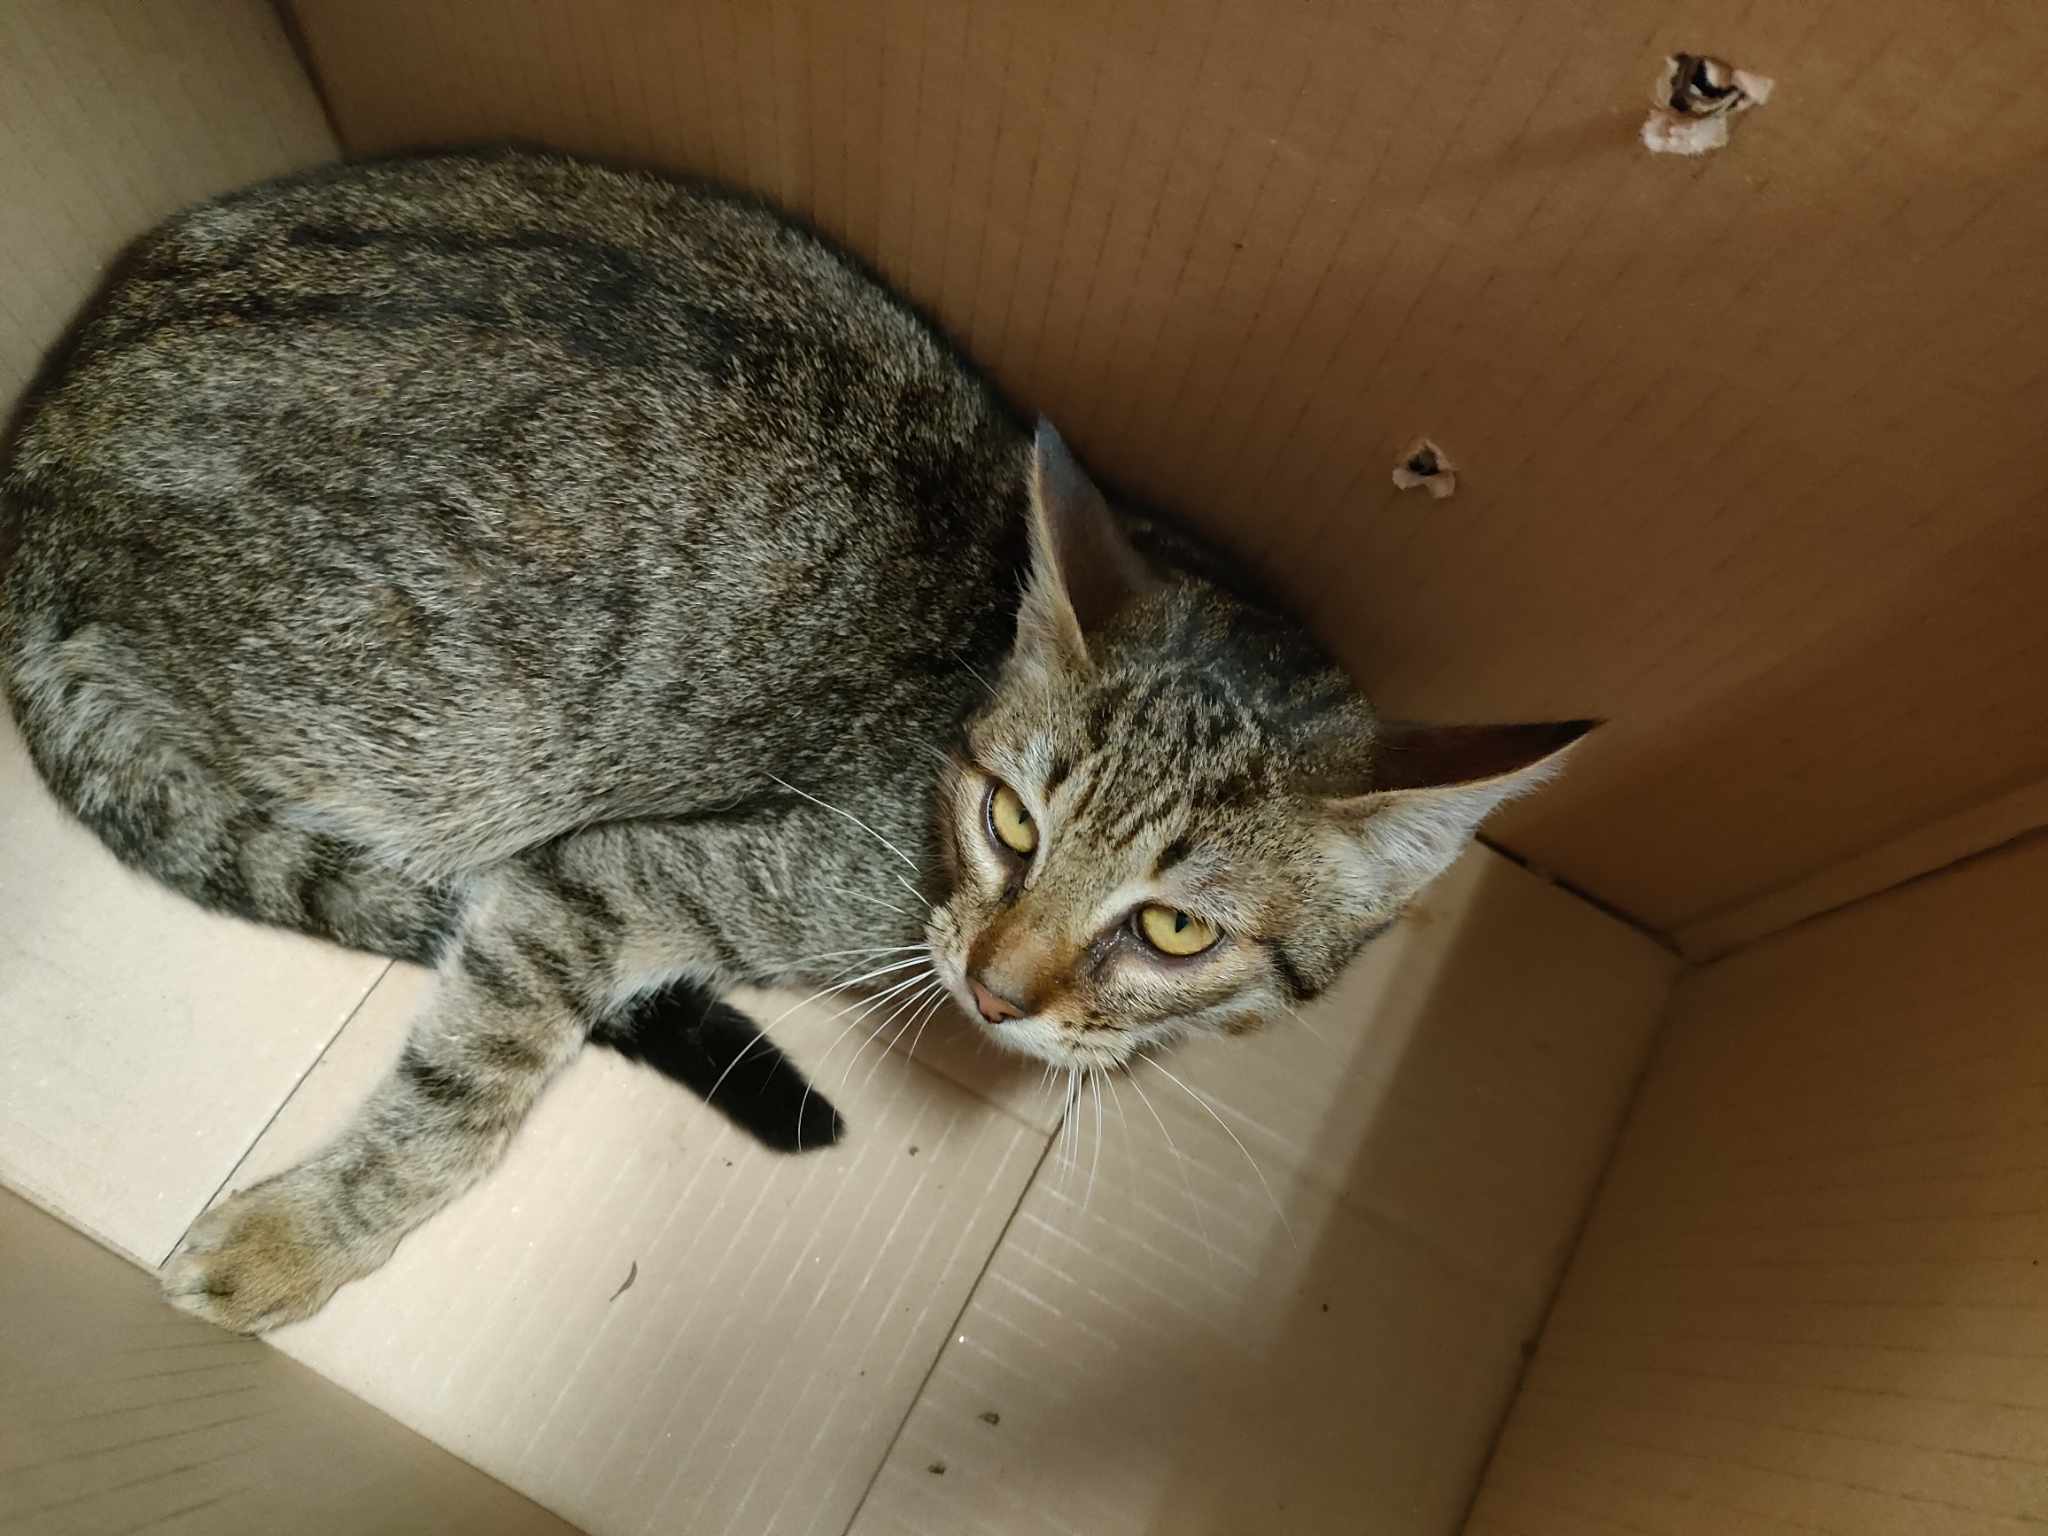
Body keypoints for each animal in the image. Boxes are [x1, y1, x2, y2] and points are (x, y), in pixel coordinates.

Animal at [1, 147, 1591, 1333]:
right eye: (1012, 822)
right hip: (452, 743)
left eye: (1176, 930)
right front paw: (304, 1237)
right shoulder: (597, 876)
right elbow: (472, 1087)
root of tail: (40, 444)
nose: (994, 994)